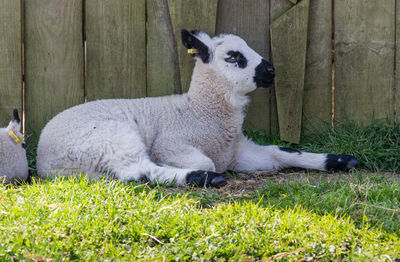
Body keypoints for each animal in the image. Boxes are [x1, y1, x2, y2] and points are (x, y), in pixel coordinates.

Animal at [36, 29, 358, 187]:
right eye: (233, 57)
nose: (271, 70)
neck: (198, 111)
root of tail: (45, 163)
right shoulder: (171, 143)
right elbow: (205, 161)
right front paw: (199, 171)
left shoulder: (239, 152)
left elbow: (282, 153)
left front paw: (340, 160)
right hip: (110, 137)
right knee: (137, 171)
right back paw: (203, 179)